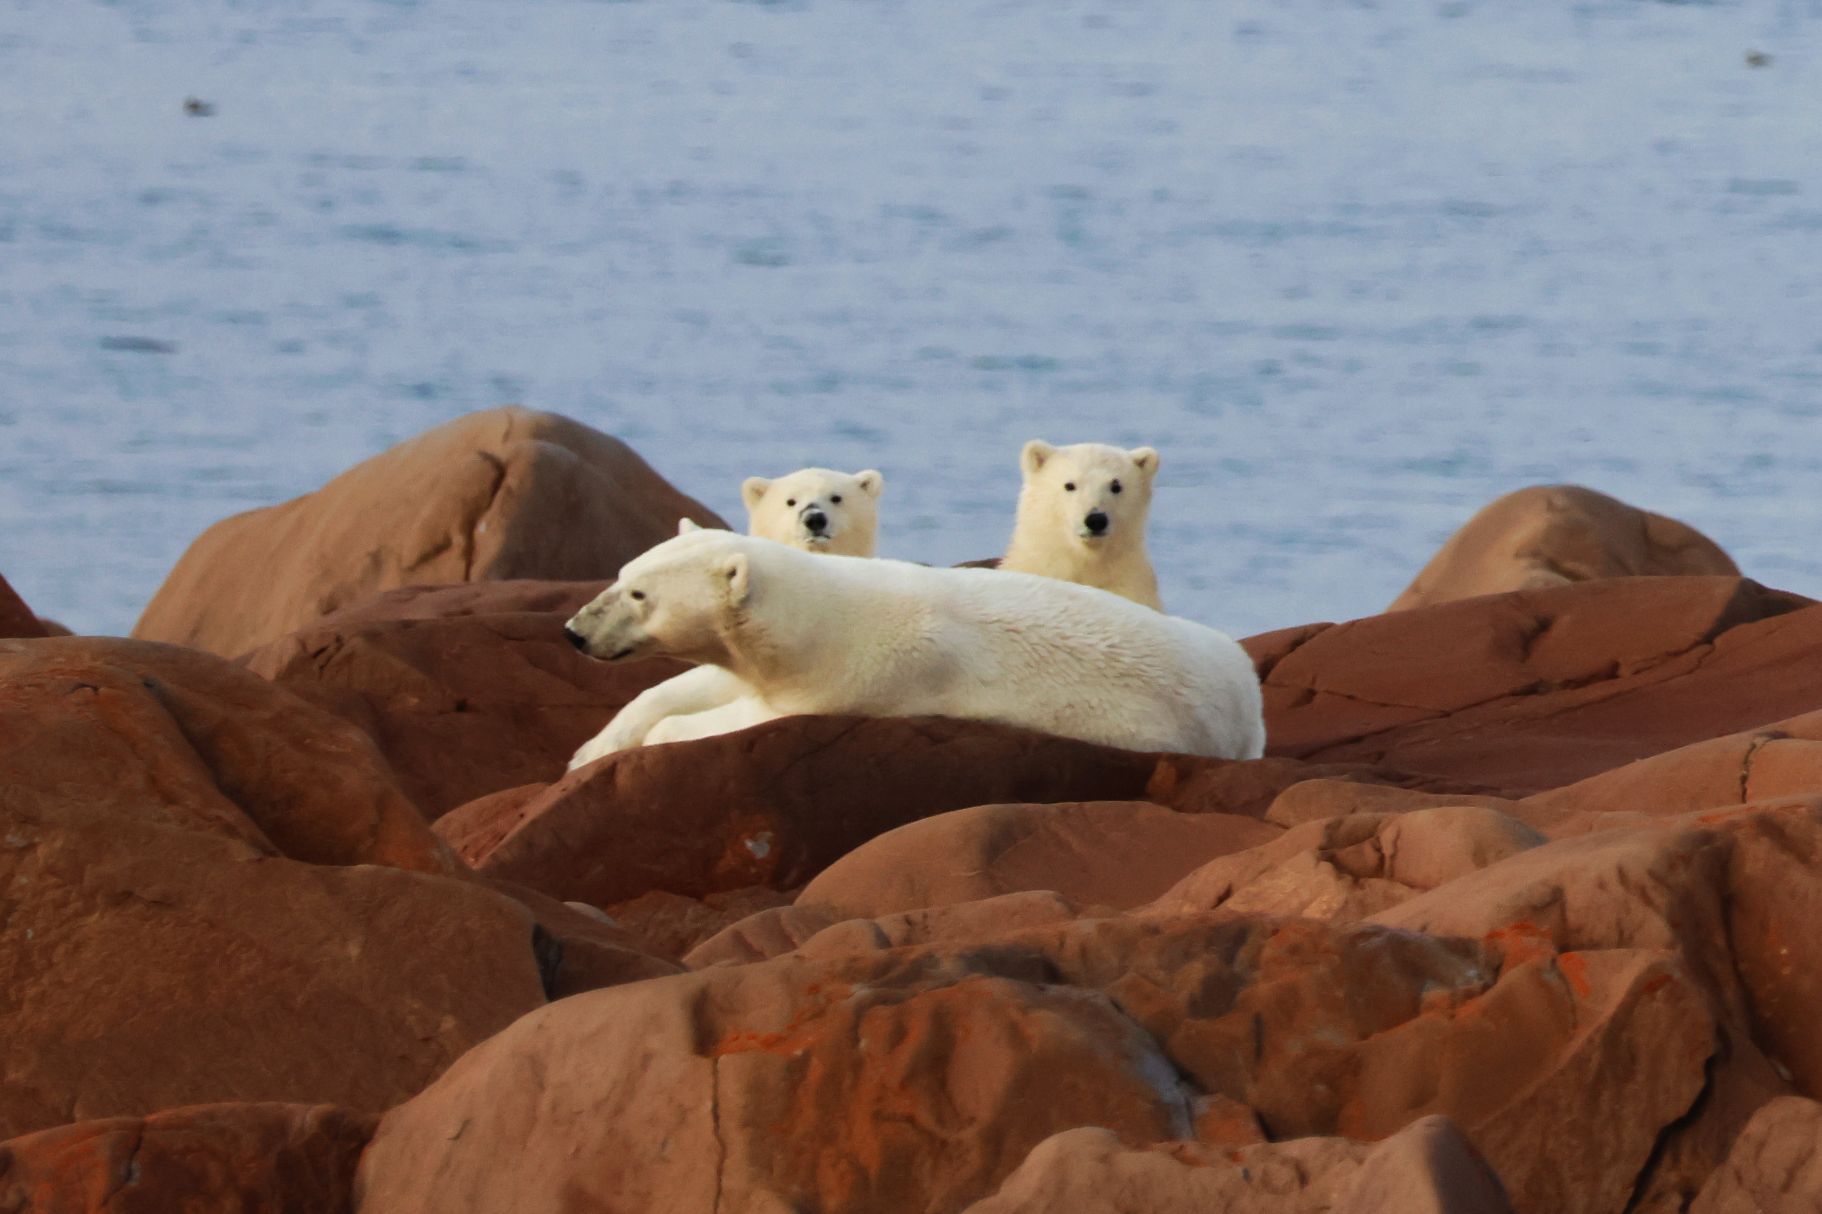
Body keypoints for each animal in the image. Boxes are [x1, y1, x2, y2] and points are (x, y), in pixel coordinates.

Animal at [562, 528, 1265, 761]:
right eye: (622, 574)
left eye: (639, 595)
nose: (574, 632)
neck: (820, 619)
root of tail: (1251, 705)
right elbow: (690, 684)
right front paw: (591, 749)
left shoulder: (857, 678)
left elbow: (750, 715)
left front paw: (657, 740)